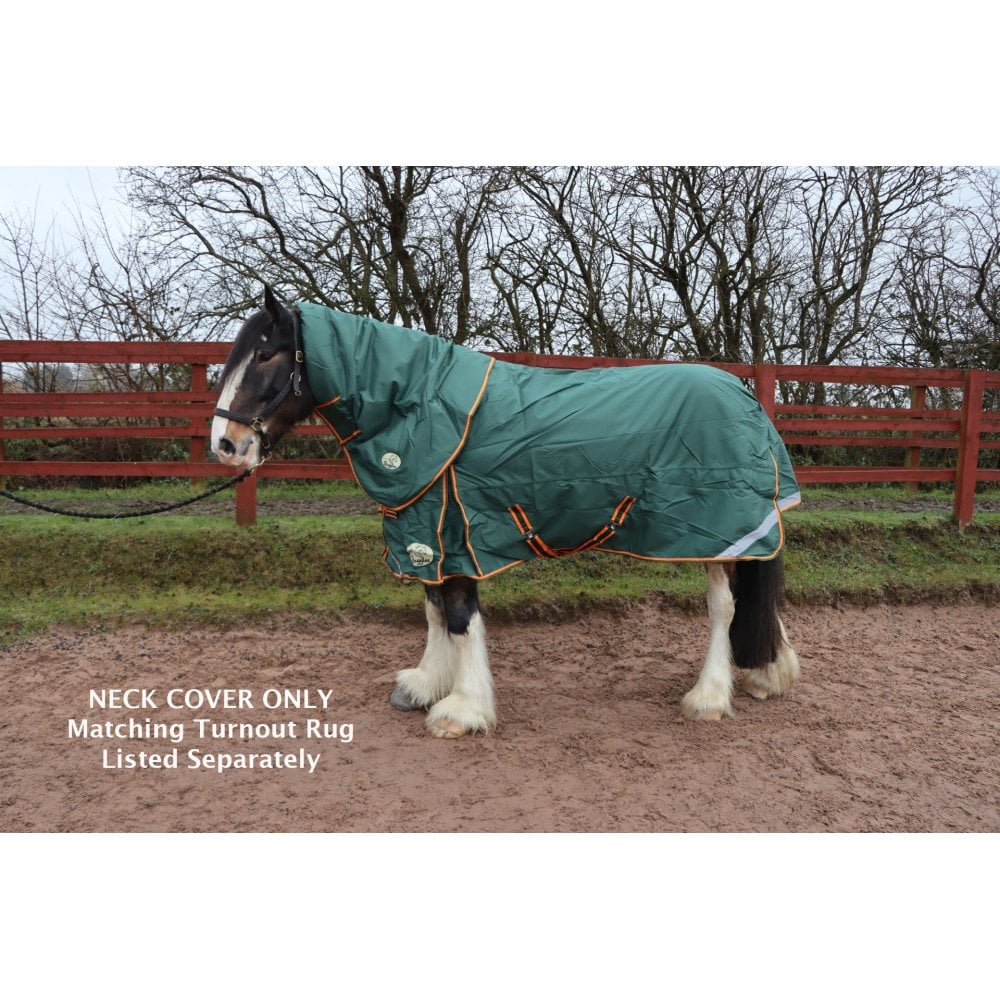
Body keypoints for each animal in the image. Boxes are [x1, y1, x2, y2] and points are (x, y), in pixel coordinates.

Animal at [212, 287, 801, 738]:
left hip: (719, 532)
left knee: (724, 608)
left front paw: (463, 709)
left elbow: (458, 617)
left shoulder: (452, 531)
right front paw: (424, 686)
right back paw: (767, 675)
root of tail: (747, 399)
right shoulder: (425, 533)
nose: (225, 443)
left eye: (266, 355)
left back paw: (709, 696)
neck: (420, 406)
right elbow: (432, 611)